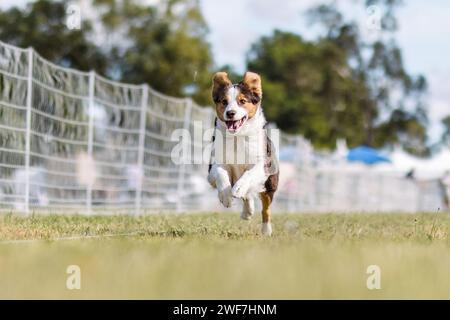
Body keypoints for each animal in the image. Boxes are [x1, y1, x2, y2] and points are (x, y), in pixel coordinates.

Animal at [207, 71, 278, 235]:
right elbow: (220, 173)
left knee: (266, 209)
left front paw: (238, 188)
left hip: (270, 183)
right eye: (224, 101)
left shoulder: (261, 165)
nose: (230, 113)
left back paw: (266, 230)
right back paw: (247, 212)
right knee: (248, 196)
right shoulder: (214, 165)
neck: (237, 137)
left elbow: (249, 174)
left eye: (242, 101)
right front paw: (226, 196)